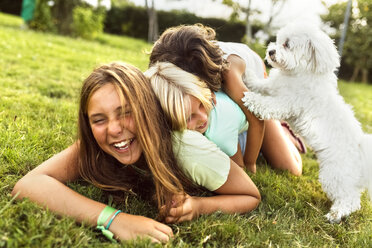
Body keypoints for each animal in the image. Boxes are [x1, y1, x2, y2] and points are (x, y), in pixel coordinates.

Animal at [243, 22, 370, 223]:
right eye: (277, 40)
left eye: (287, 44)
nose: (270, 51)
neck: (297, 73)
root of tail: (360, 152)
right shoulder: (273, 87)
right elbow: (261, 85)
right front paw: (248, 75)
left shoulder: (285, 103)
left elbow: (267, 104)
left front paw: (251, 99)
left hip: (334, 176)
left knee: (350, 200)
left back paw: (335, 215)